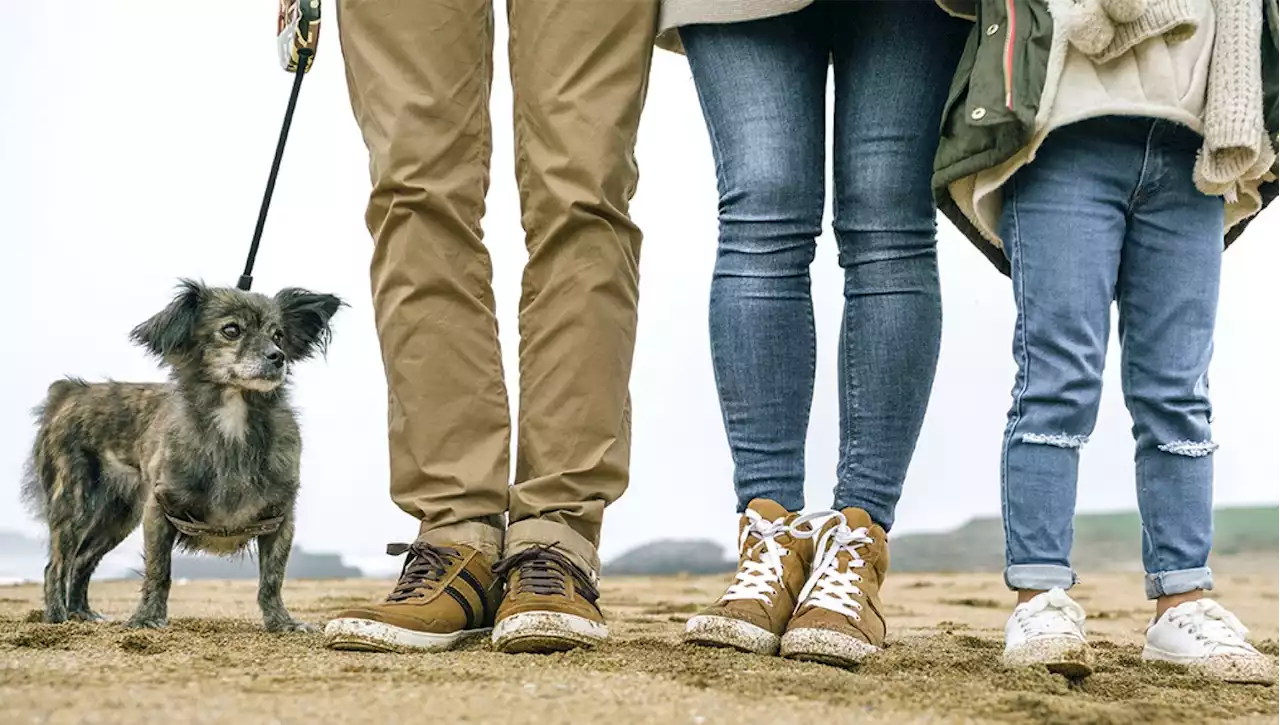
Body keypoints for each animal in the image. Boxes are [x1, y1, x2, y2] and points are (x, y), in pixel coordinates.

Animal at [21, 281, 340, 632]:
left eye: (279, 335)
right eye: (231, 330)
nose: (277, 357)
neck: (233, 420)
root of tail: (71, 391)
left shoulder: (280, 518)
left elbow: (272, 578)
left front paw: (282, 623)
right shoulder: (160, 512)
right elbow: (159, 571)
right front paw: (147, 618)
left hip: (118, 516)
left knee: (81, 561)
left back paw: (82, 613)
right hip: (75, 505)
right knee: (56, 565)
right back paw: (57, 618)